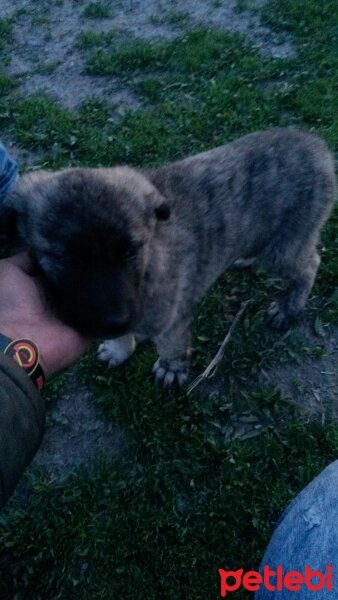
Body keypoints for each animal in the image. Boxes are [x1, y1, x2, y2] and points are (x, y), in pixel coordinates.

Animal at [2, 129, 336, 386]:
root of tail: (316, 145)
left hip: (285, 248)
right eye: (65, 256)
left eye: (130, 250)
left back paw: (289, 307)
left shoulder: (172, 320)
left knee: (310, 264)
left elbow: (172, 346)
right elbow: (128, 333)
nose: (113, 320)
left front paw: (171, 369)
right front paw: (120, 348)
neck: (148, 269)